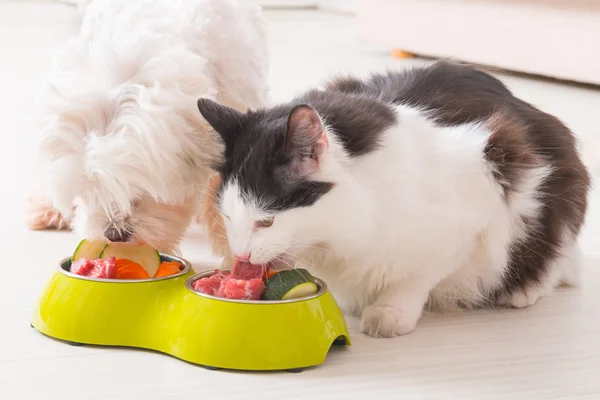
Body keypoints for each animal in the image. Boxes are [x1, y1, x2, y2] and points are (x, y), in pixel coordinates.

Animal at [197, 62, 592, 338]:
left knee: (552, 258)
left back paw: (524, 292)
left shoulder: (468, 218)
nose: (242, 256)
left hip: (544, 194)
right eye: (227, 217)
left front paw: (389, 314)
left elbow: (414, 278)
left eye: (266, 220)